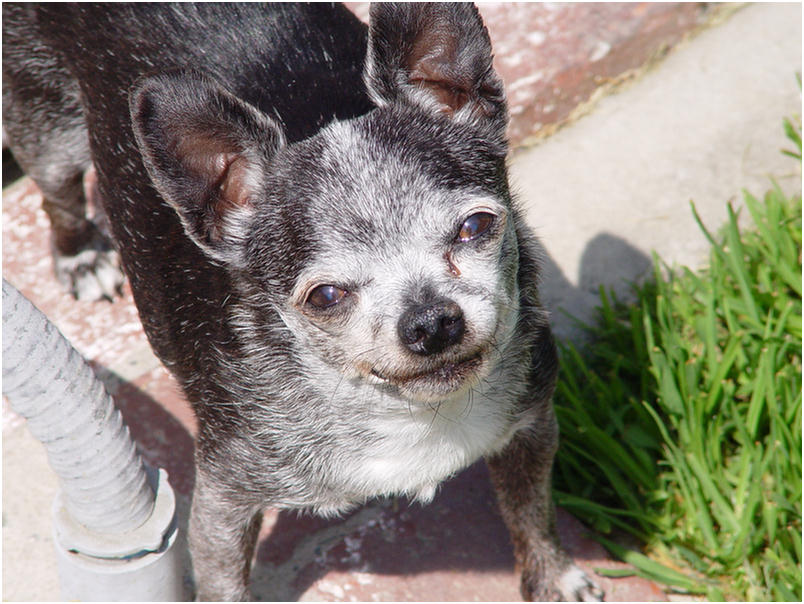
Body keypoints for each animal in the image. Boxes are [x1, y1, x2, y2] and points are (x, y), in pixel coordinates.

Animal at [1, 3, 604, 600]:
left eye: (475, 227)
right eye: (326, 297)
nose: (431, 321)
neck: (398, 410)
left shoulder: (530, 425)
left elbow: (529, 510)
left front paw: (554, 577)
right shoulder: (222, 504)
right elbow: (224, 586)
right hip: (47, 133)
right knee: (57, 193)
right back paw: (80, 255)